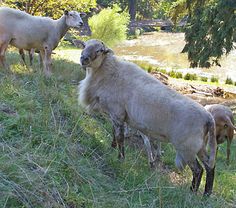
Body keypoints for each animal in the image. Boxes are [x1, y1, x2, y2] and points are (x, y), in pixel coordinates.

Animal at [74, 39, 217, 197]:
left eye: (100, 50)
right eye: (84, 45)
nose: (84, 59)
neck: (109, 72)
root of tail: (208, 118)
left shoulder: (117, 113)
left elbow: (120, 137)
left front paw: (120, 158)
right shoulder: (115, 114)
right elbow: (113, 133)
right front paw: (111, 148)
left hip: (187, 147)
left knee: (198, 170)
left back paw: (192, 192)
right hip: (199, 146)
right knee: (210, 167)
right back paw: (206, 194)